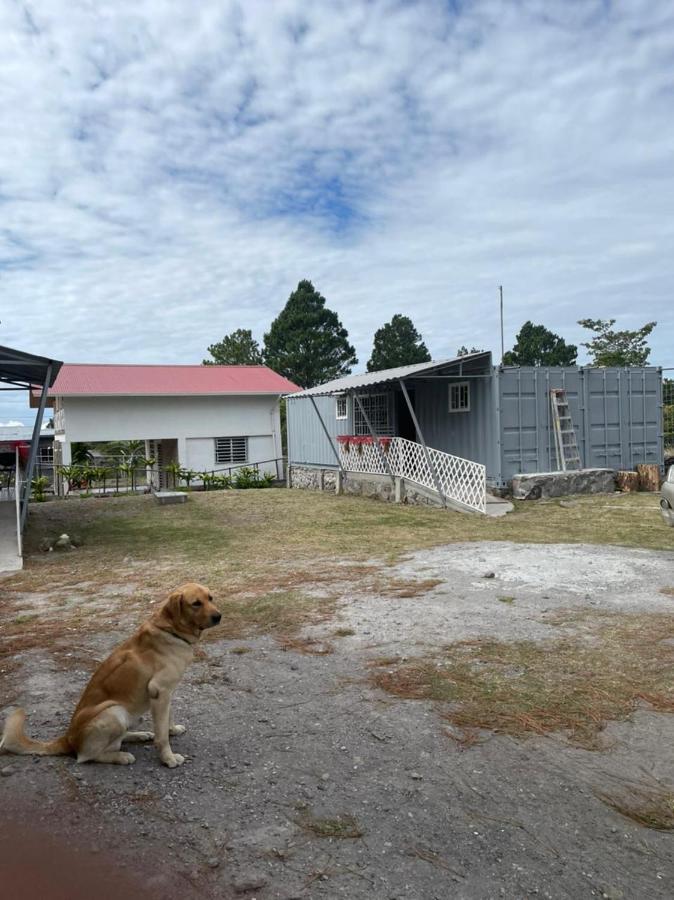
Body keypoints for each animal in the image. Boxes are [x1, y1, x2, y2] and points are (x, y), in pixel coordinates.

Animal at [0, 584, 219, 768]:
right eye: (196, 603)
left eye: (210, 597)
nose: (219, 616)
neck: (171, 630)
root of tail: (67, 738)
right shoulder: (160, 691)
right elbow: (162, 736)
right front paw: (168, 758)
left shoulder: (166, 693)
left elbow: (167, 720)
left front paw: (172, 729)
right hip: (115, 711)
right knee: (86, 756)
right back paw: (121, 756)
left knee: (118, 739)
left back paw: (139, 735)